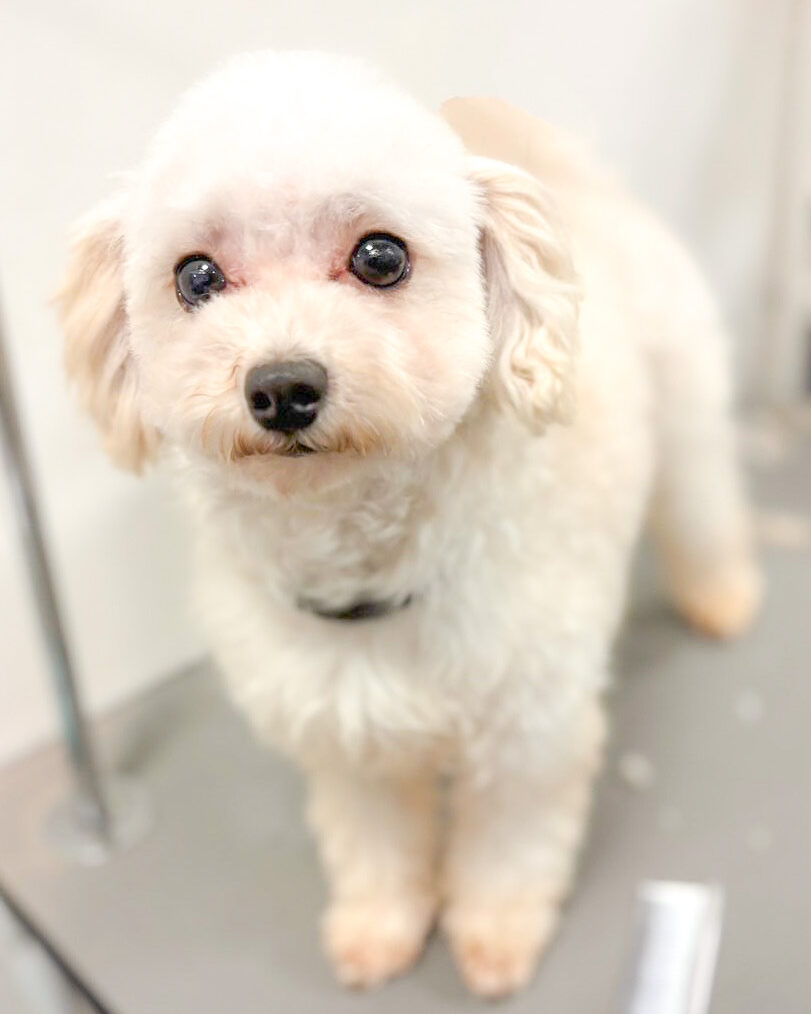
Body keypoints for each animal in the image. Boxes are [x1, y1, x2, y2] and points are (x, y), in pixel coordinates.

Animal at [57, 50, 761, 997]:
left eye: (380, 256)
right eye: (194, 276)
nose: (282, 387)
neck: (367, 574)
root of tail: (581, 180)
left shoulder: (530, 730)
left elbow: (508, 847)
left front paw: (495, 935)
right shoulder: (343, 733)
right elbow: (374, 845)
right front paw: (379, 929)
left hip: (684, 410)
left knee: (702, 501)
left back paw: (722, 596)